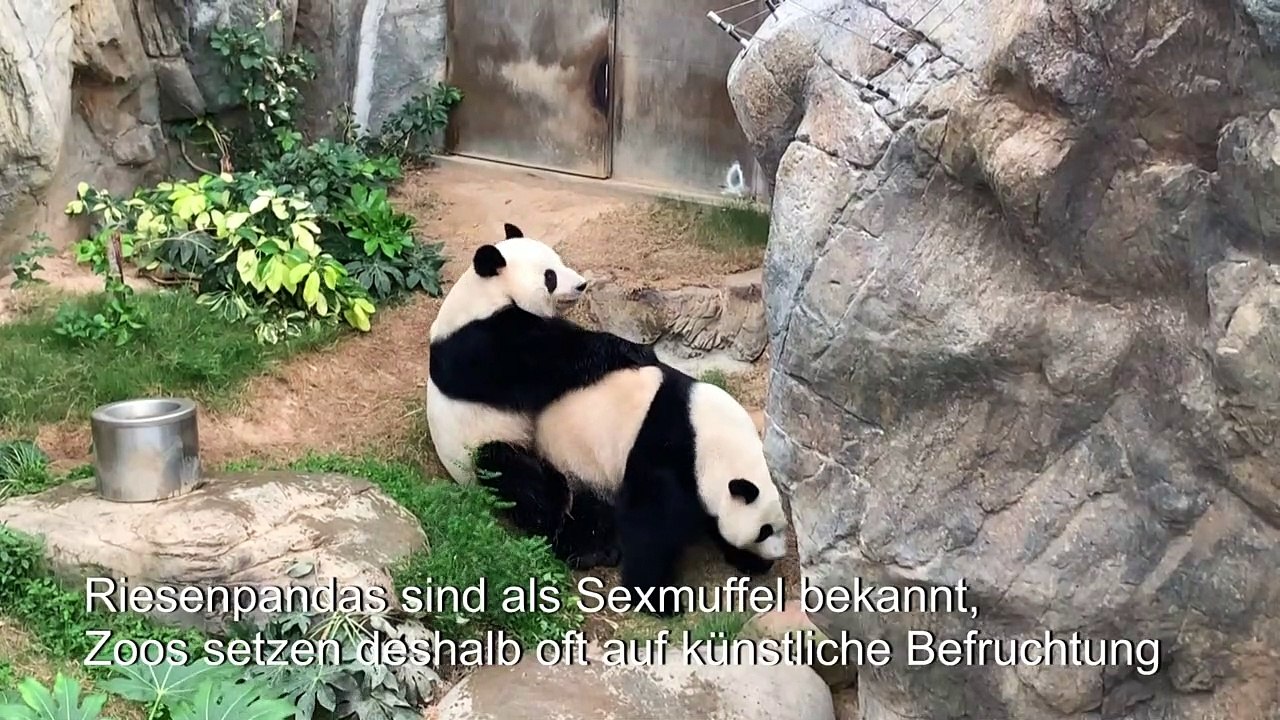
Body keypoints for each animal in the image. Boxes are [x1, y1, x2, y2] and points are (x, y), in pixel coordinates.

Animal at [425, 223, 658, 568]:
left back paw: (599, 540)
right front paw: (634, 350)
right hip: (480, 451)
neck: (485, 294)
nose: (581, 285)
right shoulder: (481, 344)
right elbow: (549, 361)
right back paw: (578, 543)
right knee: (520, 480)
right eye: (550, 276)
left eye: (559, 261)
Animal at [530, 362, 790, 616]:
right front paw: (658, 601)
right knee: (573, 508)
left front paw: (751, 560)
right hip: (572, 459)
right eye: (764, 531)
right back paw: (588, 552)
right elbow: (648, 524)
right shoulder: (665, 453)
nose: (779, 554)